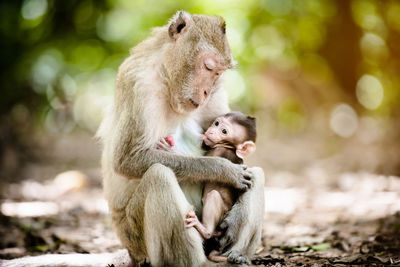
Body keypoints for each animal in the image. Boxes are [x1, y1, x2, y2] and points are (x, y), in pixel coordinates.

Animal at [157, 112, 256, 262]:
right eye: (216, 123)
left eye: (224, 131)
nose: (211, 131)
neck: (229, 147)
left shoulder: (217, 151)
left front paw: (170, 150)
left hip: (222, 215)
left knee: (213, 195)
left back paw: (205, 231)